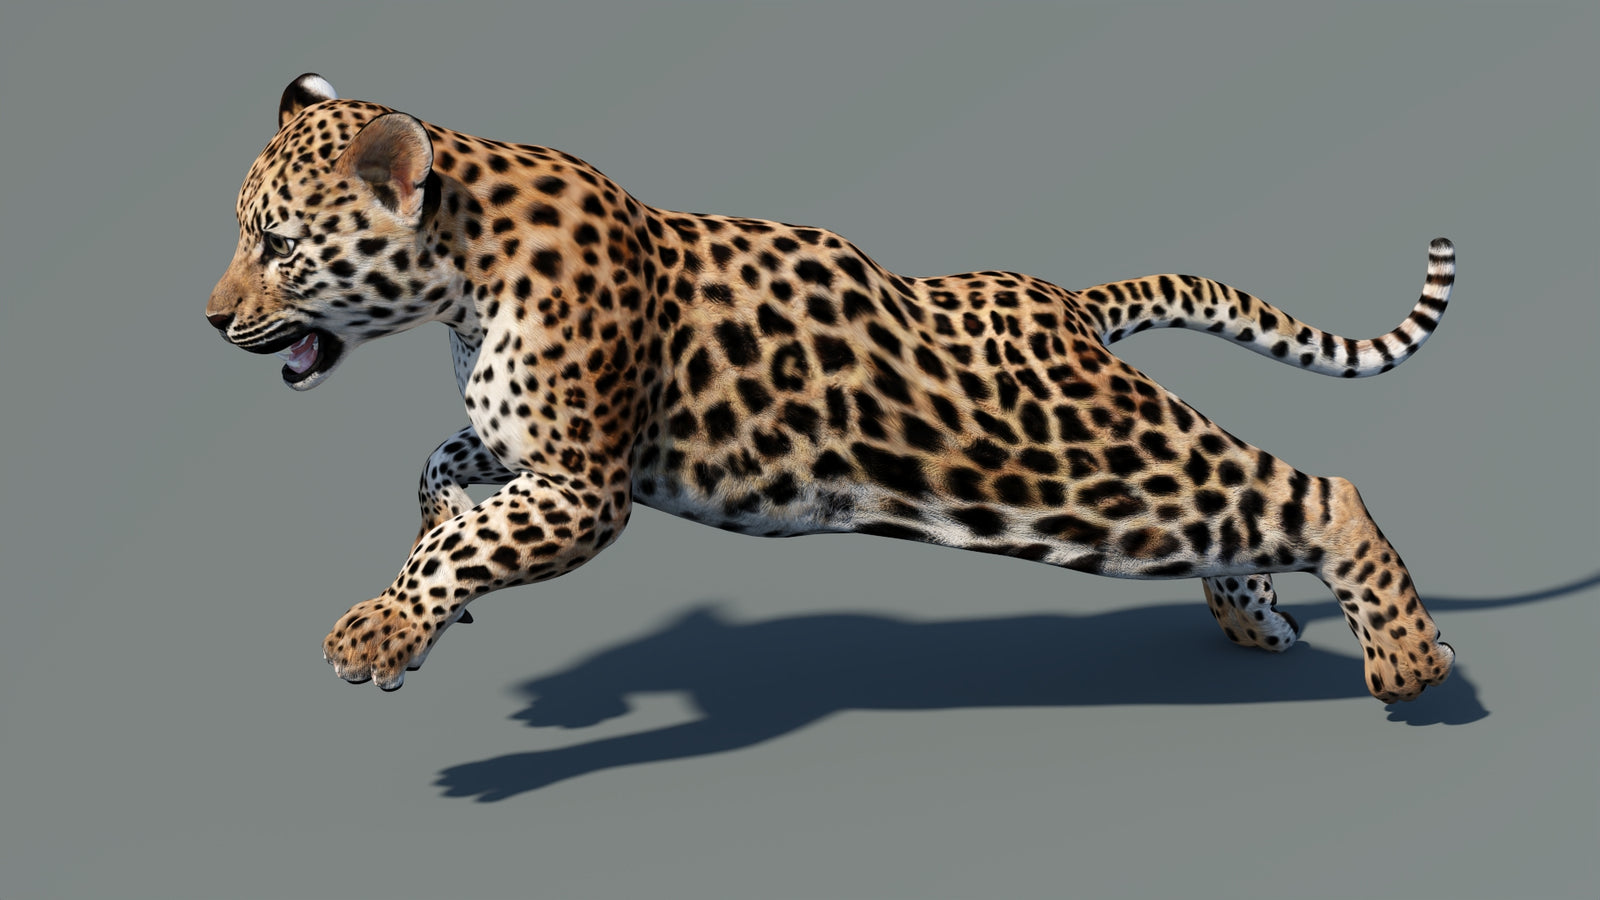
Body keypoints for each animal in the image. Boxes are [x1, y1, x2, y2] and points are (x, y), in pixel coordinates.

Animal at [207, 74, 1456, 703]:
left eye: (275, 244)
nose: (213, 320)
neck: (461, 282)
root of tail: (1062, 295)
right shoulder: (530, 450)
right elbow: (437, 473)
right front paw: (430, 588)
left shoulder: (582, 487)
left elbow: (465, 535)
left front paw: (380, 631)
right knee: (1234, 518)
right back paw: (1255, 619)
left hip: (1069, 465)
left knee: (1313, 492)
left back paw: (1409, 661)